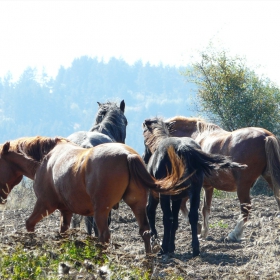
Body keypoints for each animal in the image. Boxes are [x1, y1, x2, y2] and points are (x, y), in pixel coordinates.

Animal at [0, 138, 188, 254]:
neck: (46, 159)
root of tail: (128, 155)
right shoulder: (66, 211)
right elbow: (63, 232)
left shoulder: (45, 205)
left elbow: (29, 224)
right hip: (137, 205)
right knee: (145, 232)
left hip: (101, 211)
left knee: (104, 235)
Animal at [141, 117, 246, 258]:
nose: (144, 158)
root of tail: (182, 148)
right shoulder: (177, 197)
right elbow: (175, 221)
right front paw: (172, 247)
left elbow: (162, 216)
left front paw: (164, 246)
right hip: (195, 191)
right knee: (193, 216)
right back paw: (195, 248)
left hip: (164, 194)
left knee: (159, 214)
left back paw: (162, 247)